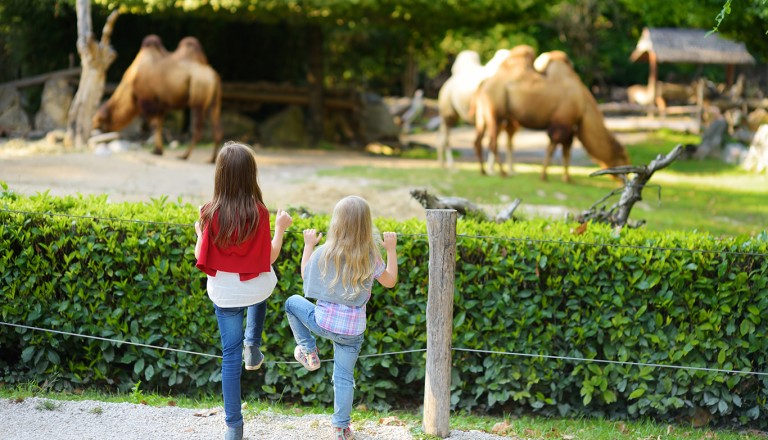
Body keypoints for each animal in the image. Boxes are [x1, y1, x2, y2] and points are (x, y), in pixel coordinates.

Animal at [468, 46, 632, 180]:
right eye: (623, 157)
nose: (627, 175)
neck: (584, 105)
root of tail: (483, 84)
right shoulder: (561, 122)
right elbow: (552, 148)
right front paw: (544, 176)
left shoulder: (569, 126)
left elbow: (566, 151)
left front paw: (567, 178)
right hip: (495, 113)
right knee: (492, 142)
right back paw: (502, 173)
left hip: (483, 116)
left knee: (478, 140)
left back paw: (483, 171)